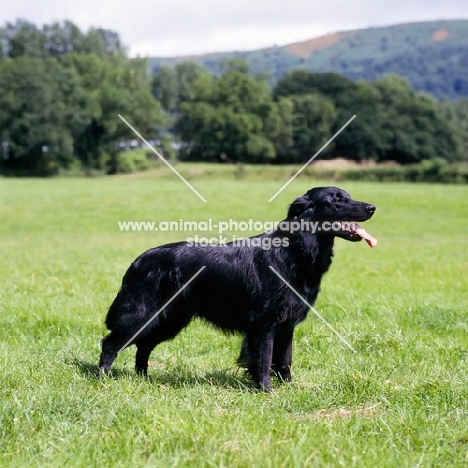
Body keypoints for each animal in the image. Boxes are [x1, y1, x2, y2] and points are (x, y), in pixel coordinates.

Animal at [98, 188, 376, 390]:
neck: (293, 251)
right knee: (111, 344)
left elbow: (284, 360)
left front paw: (290, 388)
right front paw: (266, 390)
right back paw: (102, 378)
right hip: (142, 314)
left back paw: (143, 378)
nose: (372, 207)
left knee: (143, 345)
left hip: (169, 319)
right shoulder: (264, 323)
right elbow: (263, 358)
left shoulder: (286, 325)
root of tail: (138, 260)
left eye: (348, 196)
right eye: (337, 200)